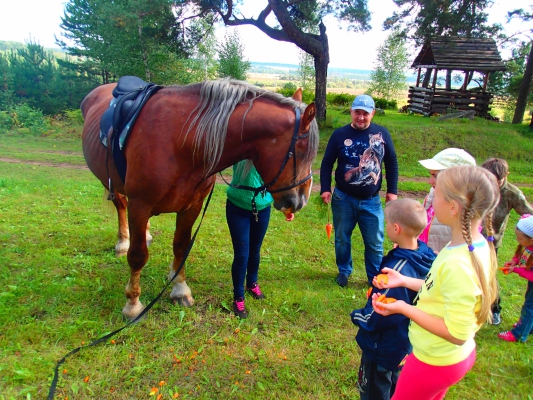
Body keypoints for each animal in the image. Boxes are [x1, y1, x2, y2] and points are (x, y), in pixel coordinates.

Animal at [81, 78, 318, 318]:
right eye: (303, 152)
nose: (301, 200)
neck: (182, 141)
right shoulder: (140, 205)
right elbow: (138, 255)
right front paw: (132, 304)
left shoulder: (192, 206)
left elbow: (181, 246)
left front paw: (179, 288)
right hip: (110, 182)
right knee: (121, 206)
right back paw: (122, 243)